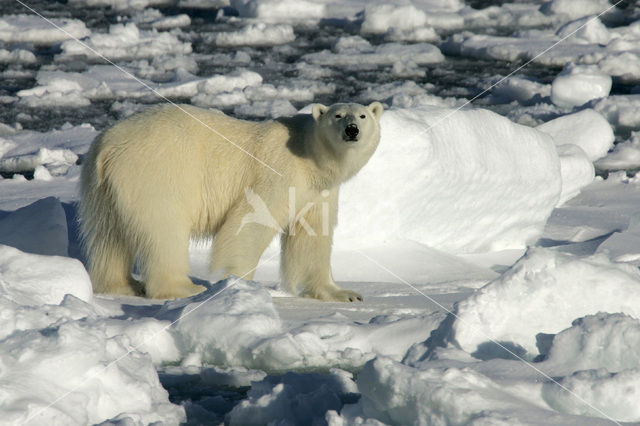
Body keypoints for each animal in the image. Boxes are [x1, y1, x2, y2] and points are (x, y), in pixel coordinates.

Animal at [78, 102, 382, 302]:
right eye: (337, 115)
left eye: (363, 115)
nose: (352, 129)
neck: (309, 155)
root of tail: (107, 148)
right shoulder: (279, 172)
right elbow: (250, 223)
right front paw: (239, 284)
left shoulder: (319, 192)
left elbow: (312, 238)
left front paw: (344, 293)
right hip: (156, 173)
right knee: (163, 231)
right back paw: (184, 288)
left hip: (103, 188)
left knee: (109, 236)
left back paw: (123, 286)